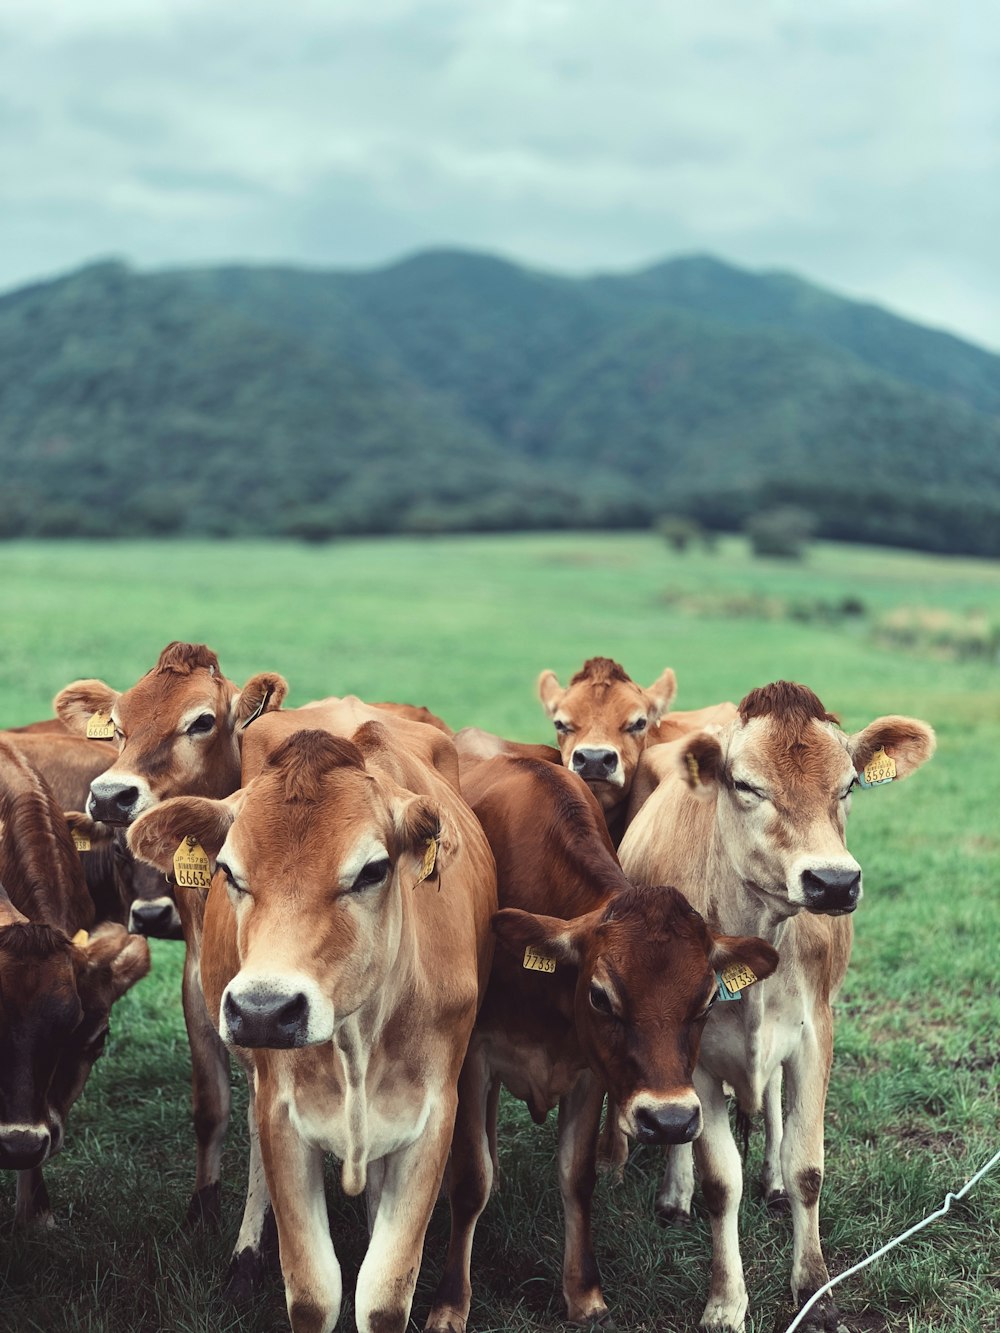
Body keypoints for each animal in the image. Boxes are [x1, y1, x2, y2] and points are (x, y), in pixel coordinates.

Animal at [129, 725, 498, 1333]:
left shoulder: (434, 1116)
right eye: (228, 871)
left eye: (373, 871)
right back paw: (245, 1258)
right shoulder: (282, 1112)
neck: (357, 1040)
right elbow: (311, 1292)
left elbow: (384, 1293)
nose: (263, 1009)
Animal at [426, 762, 778, 1333]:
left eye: (707, 999)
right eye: (599, 995)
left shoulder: (589, 1071)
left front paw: (584, 1293)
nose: (671, 1121)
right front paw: (451, 1303)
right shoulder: (474, 1058)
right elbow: (470, 1179)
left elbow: (577, 1176)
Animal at [624, 682, 938, 1327]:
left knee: (769, 1102)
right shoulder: (696, 1056)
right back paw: (674, 1194)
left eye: (848, 785)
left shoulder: (815, 1032)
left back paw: (768, 1178)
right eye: (746, 785)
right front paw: (726, 1302)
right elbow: (720, 1182)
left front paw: (813, 1289)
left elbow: (807, 1167)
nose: (834, 882)